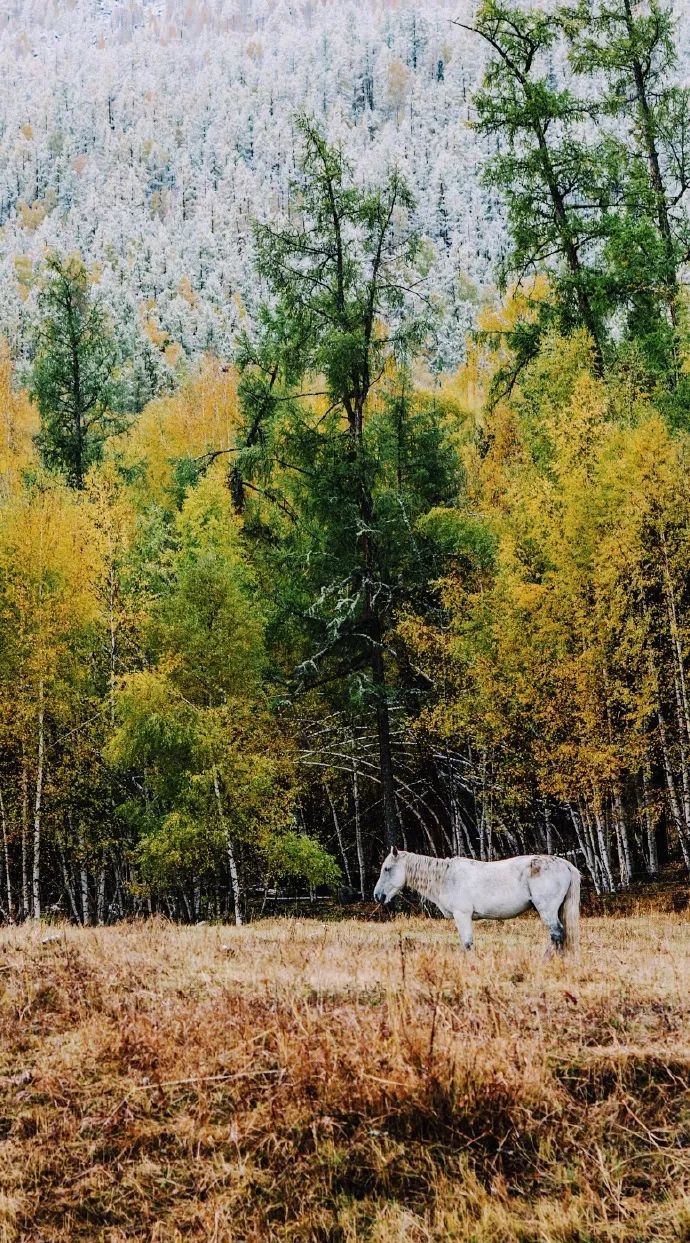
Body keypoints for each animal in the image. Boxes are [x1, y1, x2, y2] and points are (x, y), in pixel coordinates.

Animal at [375, 850, 579, 954]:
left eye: (387, 869)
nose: (378, 896)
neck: (446, 877)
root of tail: (565, 864)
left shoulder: (462, 915)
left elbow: (467, 944)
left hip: (547, 911)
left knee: (557, 934)